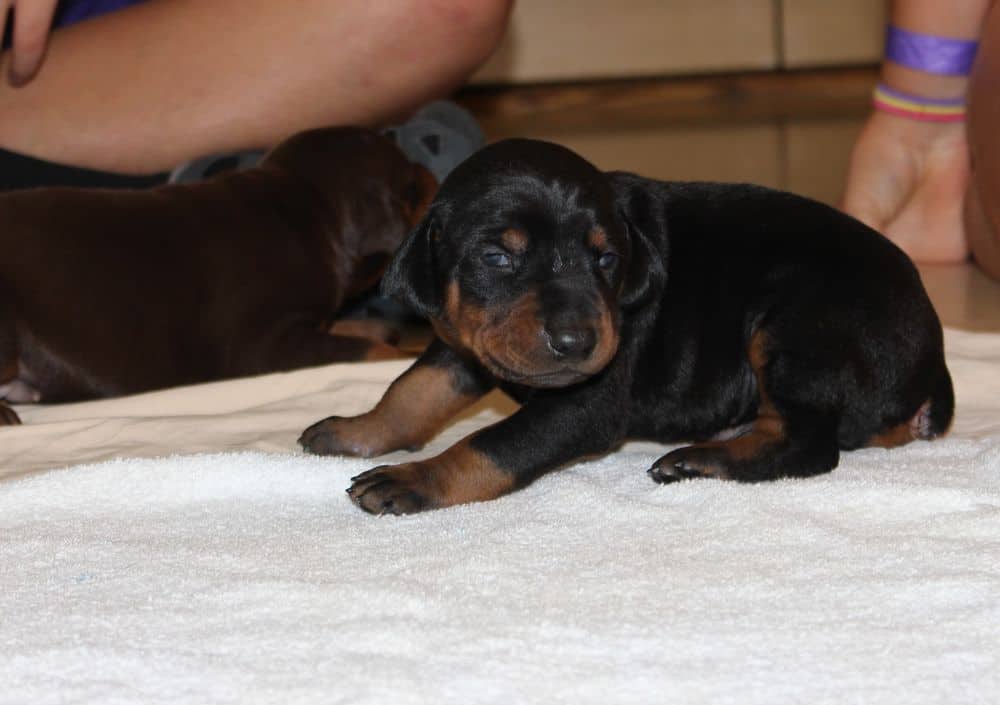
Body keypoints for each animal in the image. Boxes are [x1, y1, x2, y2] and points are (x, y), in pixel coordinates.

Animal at [0, 126, 438, 424]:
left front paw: (378, 329)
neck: (305, 206)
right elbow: (365, 351)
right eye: (412, 186)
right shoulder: (266, 345)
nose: (434, 174)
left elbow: (350, 330)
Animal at [298, 138, 952, 516]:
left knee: (809, 443)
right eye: (498, 257)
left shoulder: (584, 404)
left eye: (606, 258)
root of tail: (934, 357)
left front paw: (414, 478)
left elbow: (490, 444)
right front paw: (354, 429)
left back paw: (703, 461)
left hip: (797, 320)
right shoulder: (465, 342)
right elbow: (411, 390)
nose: (577, 343)